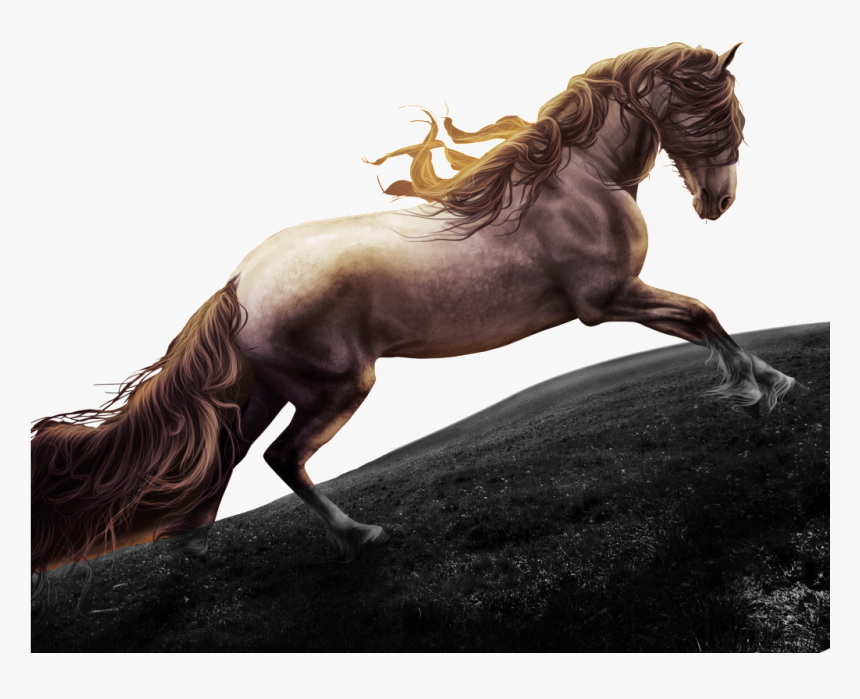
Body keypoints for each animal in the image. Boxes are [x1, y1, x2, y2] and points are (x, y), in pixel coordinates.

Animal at [31, 42, 808, 587]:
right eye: (715, 113)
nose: (718, 201)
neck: (577, 182)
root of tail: (239, 284)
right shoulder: (609, 298)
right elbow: (702, 314)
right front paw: (756, 391)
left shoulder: (621, 295)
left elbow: (705, 318)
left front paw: (773, 381)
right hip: (336, 389)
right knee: (282, 458)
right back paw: (360, 536)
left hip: (265, 391)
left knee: (228, 455)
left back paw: (194, 547)